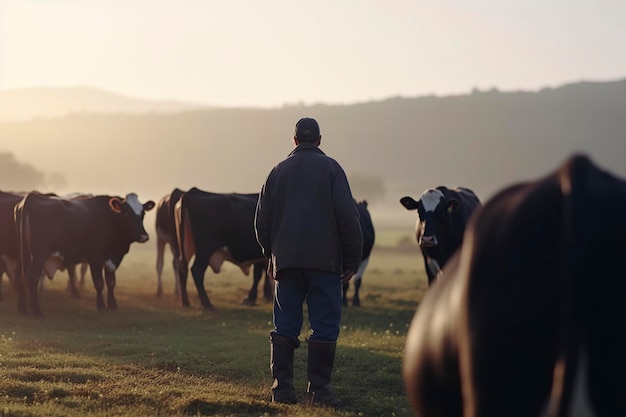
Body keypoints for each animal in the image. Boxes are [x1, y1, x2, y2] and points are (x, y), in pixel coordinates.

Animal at [14, 190, 154, 314]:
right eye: (126, 213)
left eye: (143, 213)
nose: (144, 236)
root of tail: (31, 198)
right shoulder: (95, 258)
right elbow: (99, 283)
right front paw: (101, 306)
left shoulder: (110, 260)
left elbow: (111, 283)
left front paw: (113, 305)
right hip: (39, 256)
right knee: (32, 277)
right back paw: (36, 311)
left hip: (23, 255)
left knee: (21, 276)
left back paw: (22, 309)